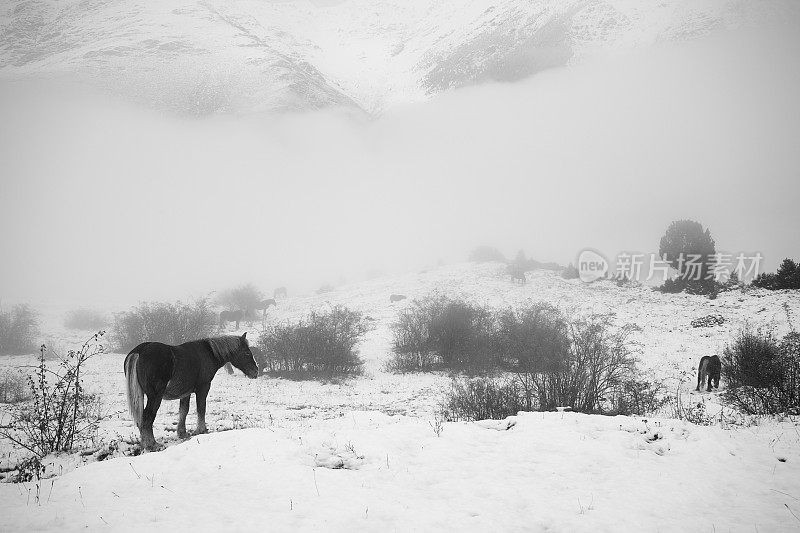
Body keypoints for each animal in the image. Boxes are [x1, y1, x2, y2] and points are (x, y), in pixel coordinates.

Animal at [124, 332, 260, 448]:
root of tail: (139, 352)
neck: (209, 353)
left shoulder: (186, 392)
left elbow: (183, 411)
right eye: (247, 353)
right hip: (155, 397)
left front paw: (182, 433)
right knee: (147, 417)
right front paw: (201, 430)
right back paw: (152, 444)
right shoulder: (203, 388)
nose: (256, 371)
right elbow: (201, 409)